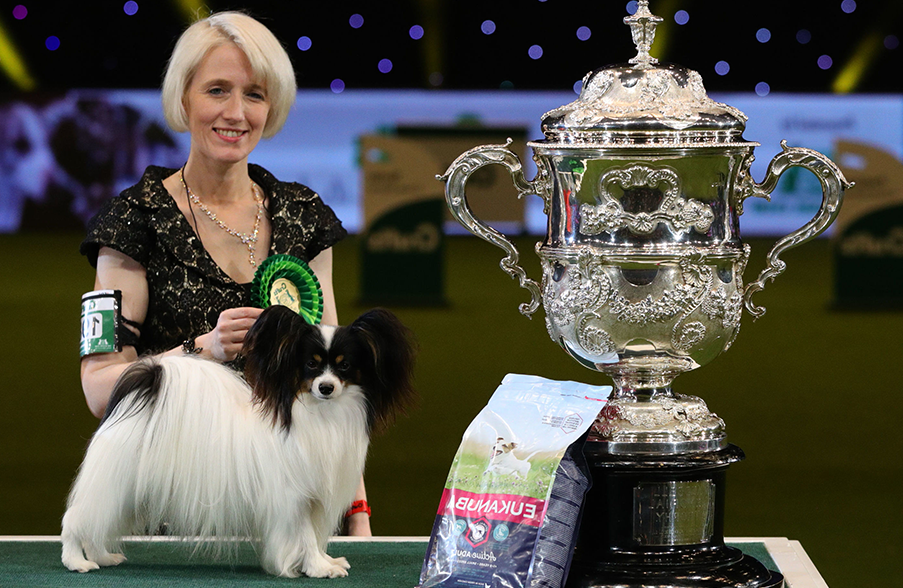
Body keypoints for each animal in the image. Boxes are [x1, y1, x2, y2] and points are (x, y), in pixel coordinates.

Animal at [62, 306, 416, 576]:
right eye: (310, 364)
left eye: (345, 366)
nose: (326, 387)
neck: (321, 415)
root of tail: (149, 382)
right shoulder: (294, 498)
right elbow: (305, 536)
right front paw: (317, 568)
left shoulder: (314, 497)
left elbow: (315, 536)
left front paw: (322, 561)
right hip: (113, 482)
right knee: (76, 519)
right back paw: (77, 561)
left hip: (127, 493)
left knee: (97, 524)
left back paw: (102, 556)